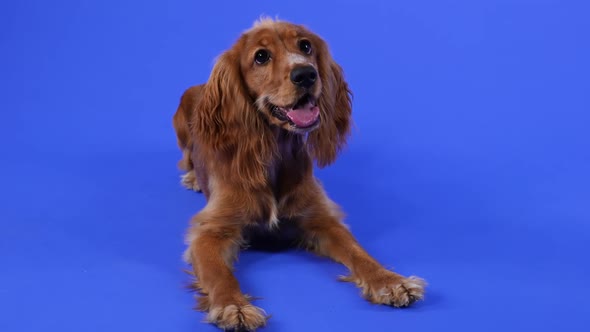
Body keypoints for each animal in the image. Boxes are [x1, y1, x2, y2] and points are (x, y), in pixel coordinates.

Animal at [171, 17, 426, 330]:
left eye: (305, 46)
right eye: (261, 56)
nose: (305, 74)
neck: (274, 154)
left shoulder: (321, 219)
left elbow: (359, 252)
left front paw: (389, 281)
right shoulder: (210, 231)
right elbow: (219, 274)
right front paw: (234, 306)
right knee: (186, 157)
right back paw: (193, 177)